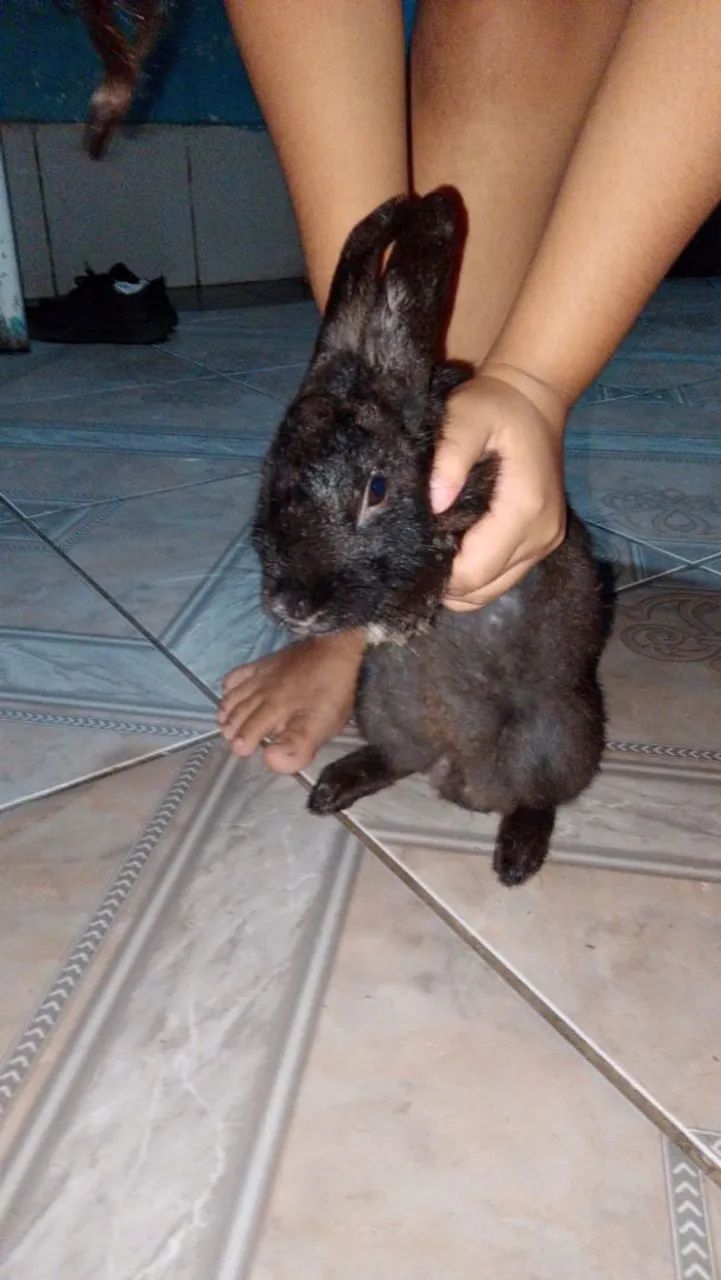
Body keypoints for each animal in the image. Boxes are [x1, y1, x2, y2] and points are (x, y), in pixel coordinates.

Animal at [252, 188, 605, 886]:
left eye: (376, 489)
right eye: (276, 478)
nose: (291, 605)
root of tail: (457, 771)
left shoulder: (481, 488)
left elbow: (452, 539)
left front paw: (412, 607)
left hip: (558, 729)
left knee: (540, 796)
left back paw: (516, 857)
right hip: (379, 702)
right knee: (399, 758)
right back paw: (333, 787)